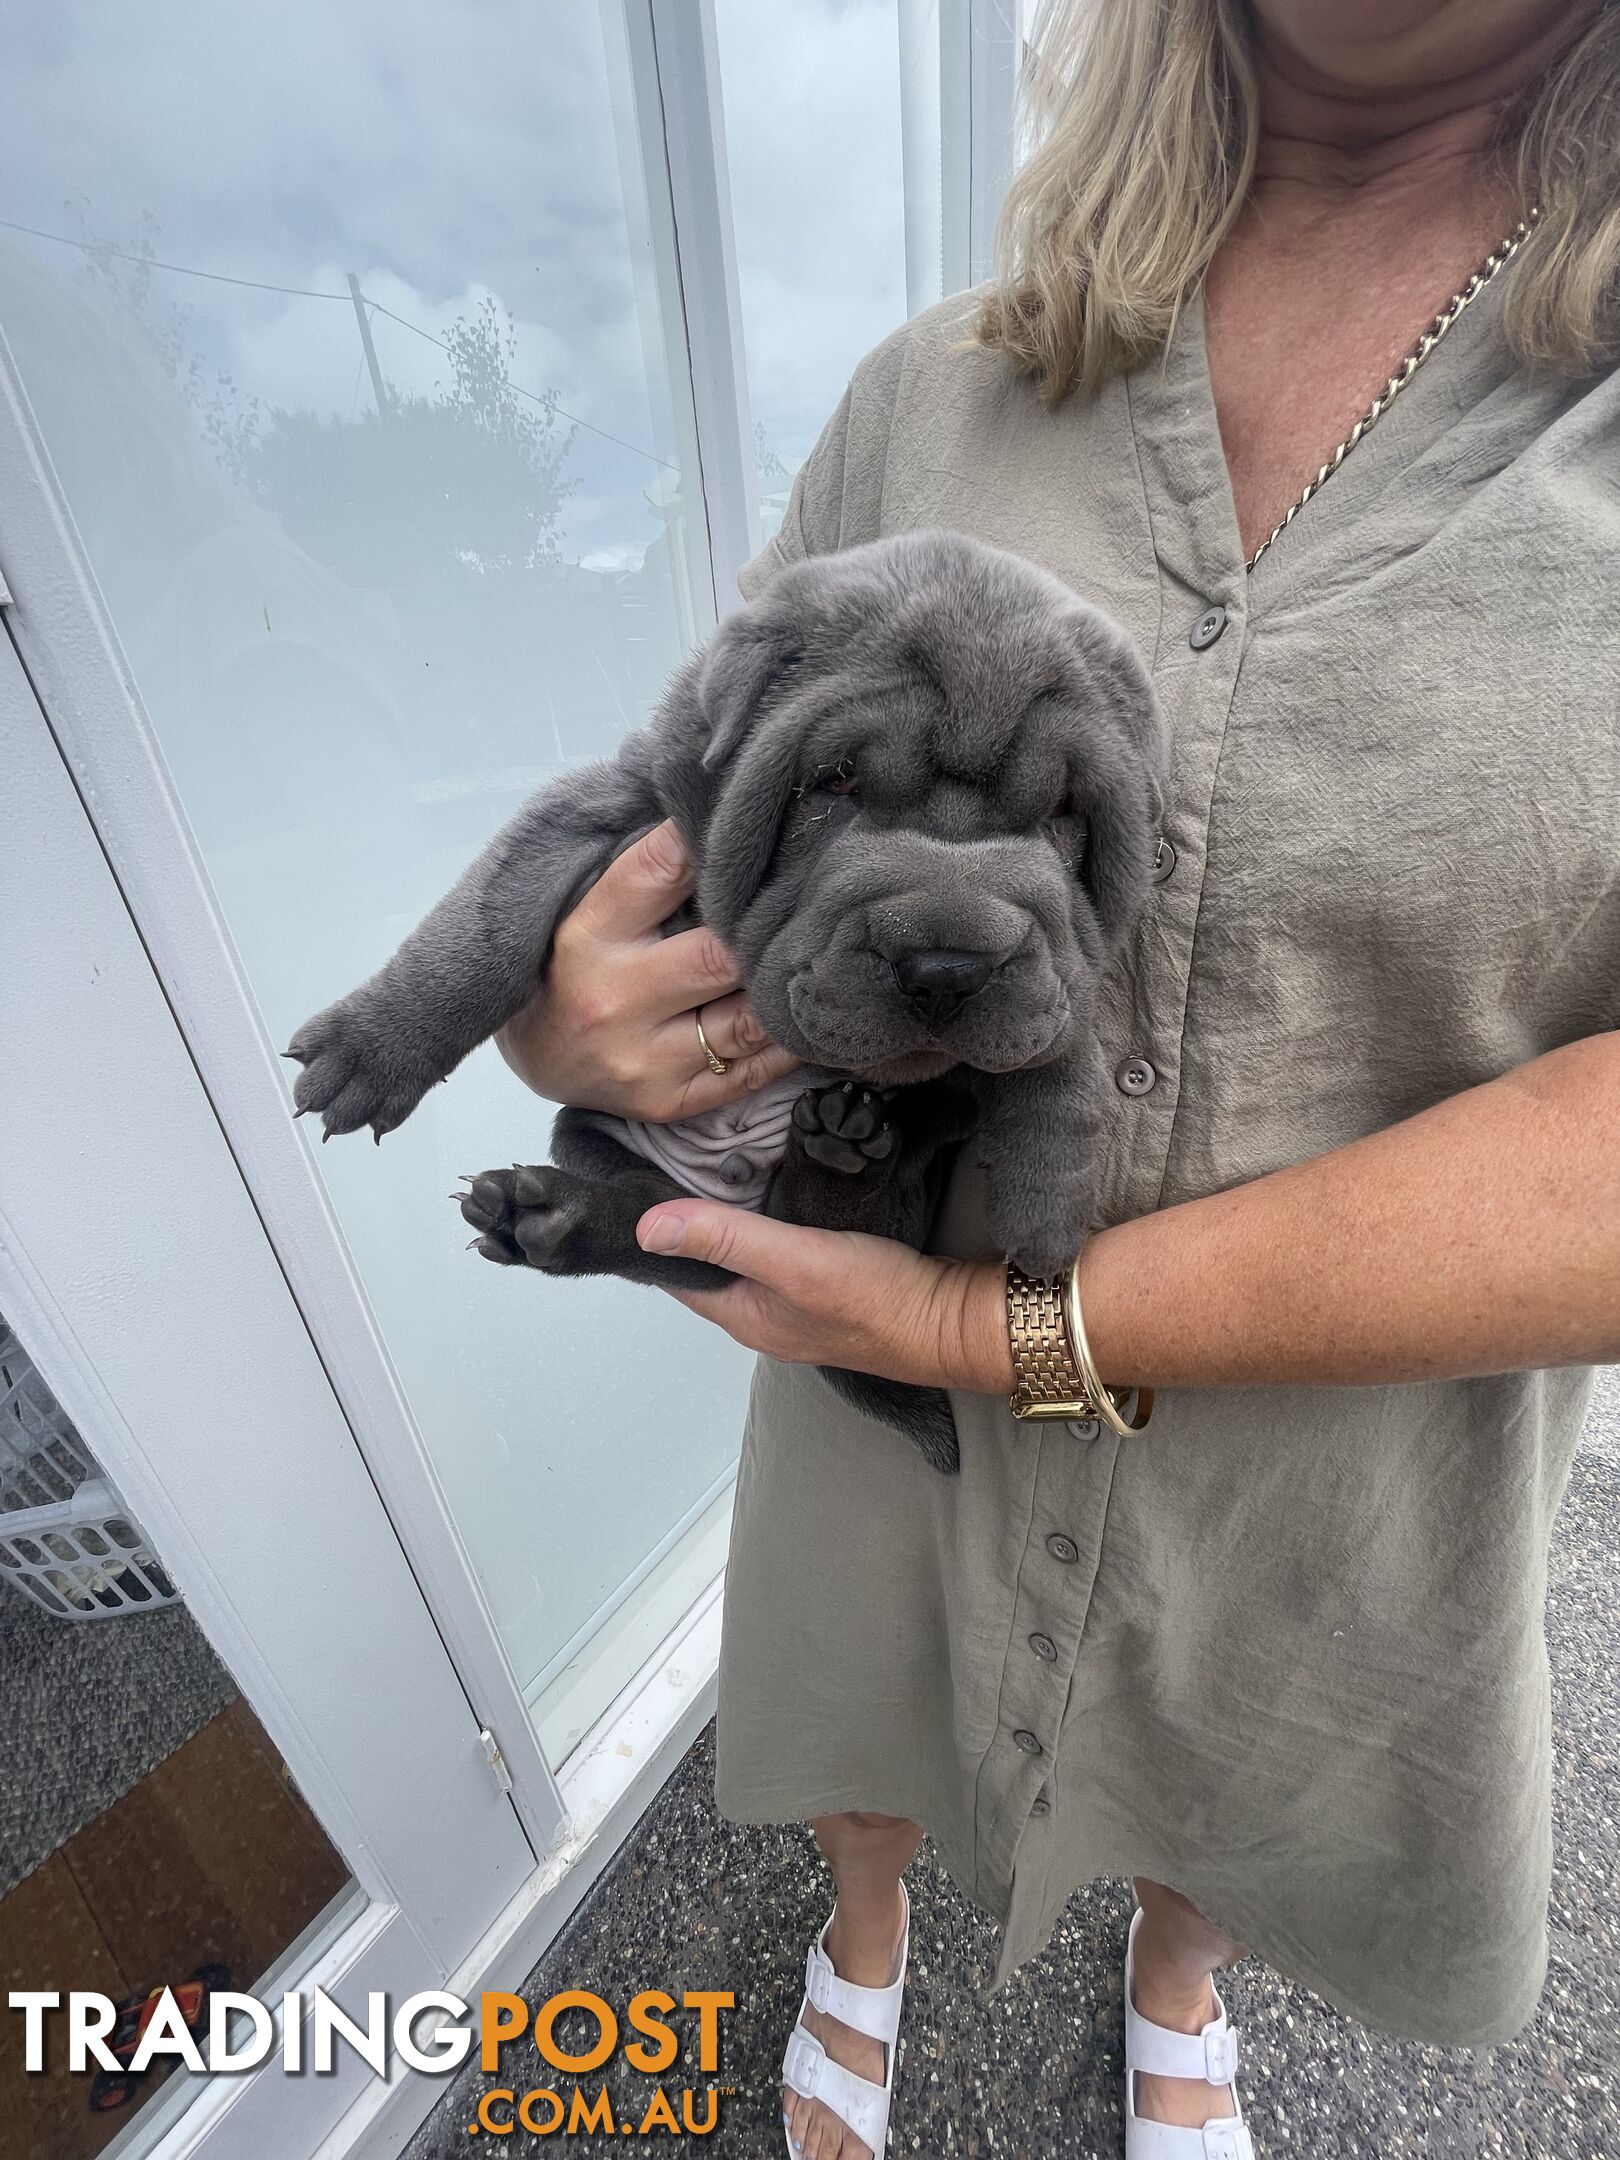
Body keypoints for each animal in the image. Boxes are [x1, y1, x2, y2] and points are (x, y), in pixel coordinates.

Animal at [285, 527, 1157, 1468]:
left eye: (1065, 808)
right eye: (836, 781)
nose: (946, 966)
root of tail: (739, 1188)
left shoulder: (1062, 957)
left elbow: (1063, 1051)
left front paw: (1048, 1207)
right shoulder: (609, 804)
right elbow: (487, 923)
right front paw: (371, 1046)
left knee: (816, 1222)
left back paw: (837, 1147)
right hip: (593, 1137)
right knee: (667, 1236)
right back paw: (551, 1214)